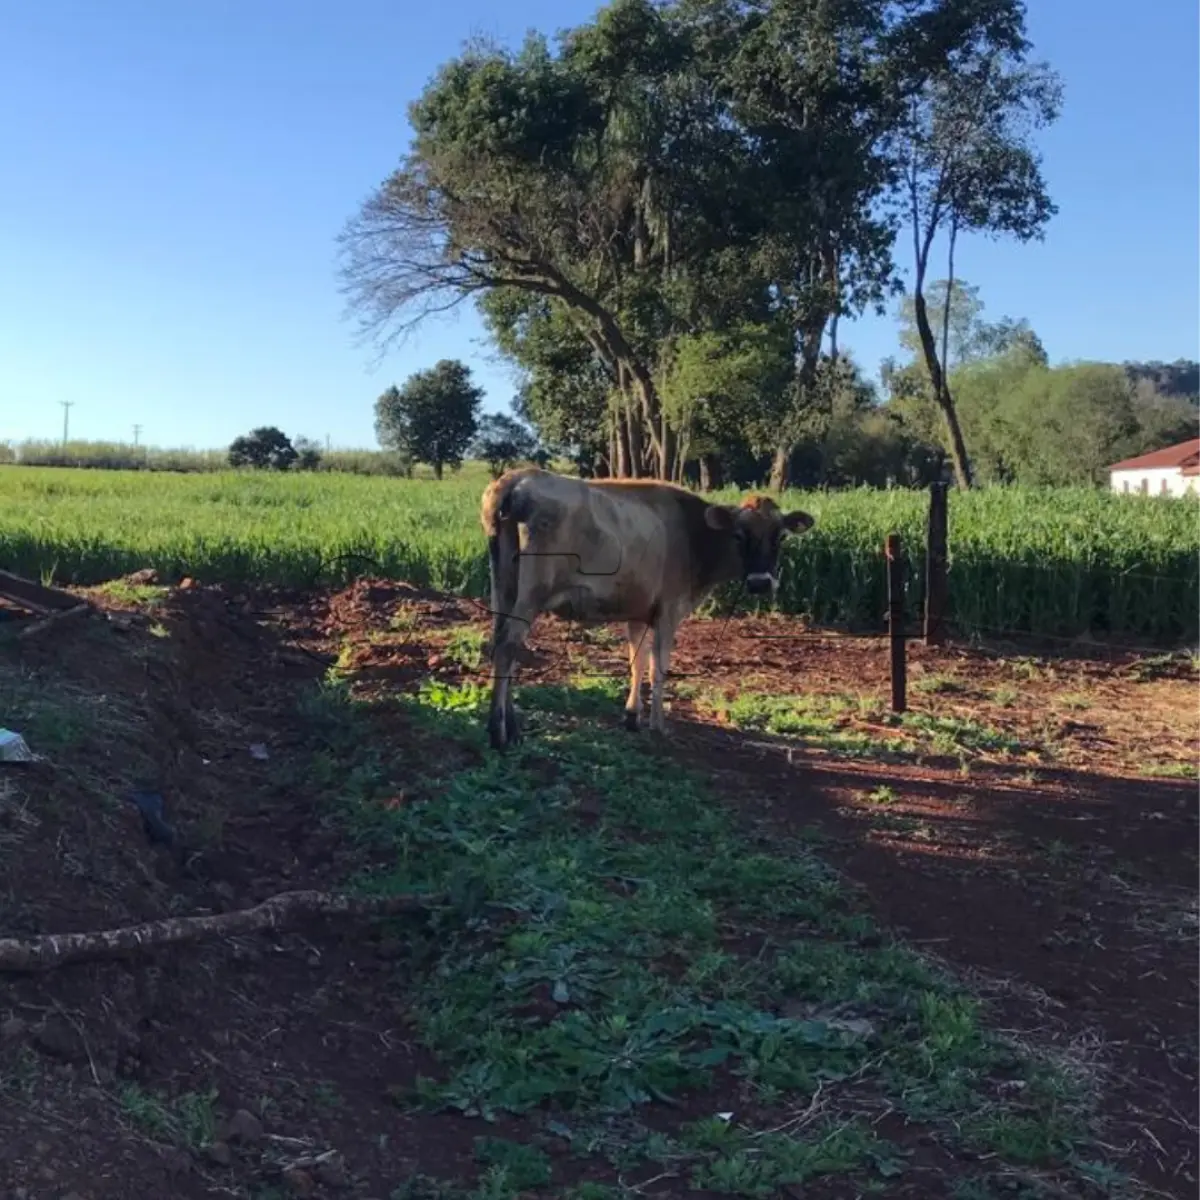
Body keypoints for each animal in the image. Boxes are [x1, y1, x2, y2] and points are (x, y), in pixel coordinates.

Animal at [480, 467, 814, 750]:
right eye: (739, 535)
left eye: (781, 536)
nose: (760, 582)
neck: (694, 535)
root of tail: (518, 476)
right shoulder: (669, 609)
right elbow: (658, 667)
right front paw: (657, 724)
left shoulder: (638, 611)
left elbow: (636, 661)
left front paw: (632, 716)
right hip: (532, 593)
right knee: (508, 646)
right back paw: (498, 733)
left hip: (503, 586)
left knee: (502, 645)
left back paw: (512, 727)